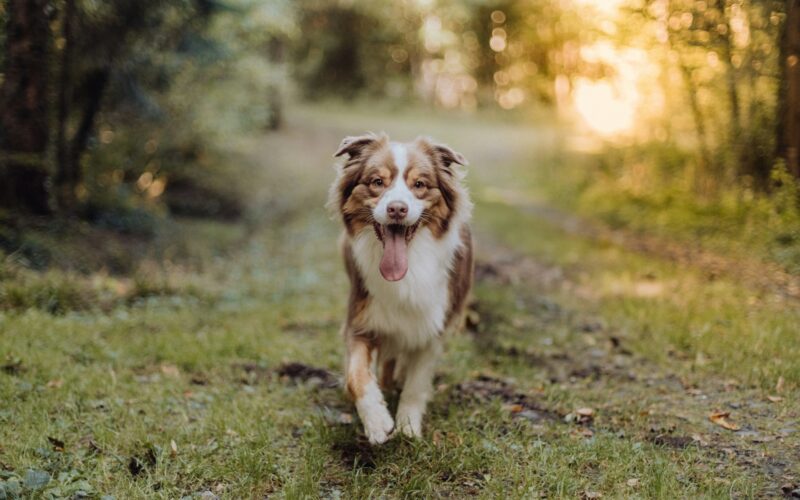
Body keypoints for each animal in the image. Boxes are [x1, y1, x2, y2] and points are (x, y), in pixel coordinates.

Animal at [328, 134, 472, 446]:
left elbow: (416, 384)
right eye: (377, 181)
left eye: (419, 184)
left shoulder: (433, 329)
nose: (397, 209)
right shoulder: (362, 319)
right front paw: (377, 421)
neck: (408, 271)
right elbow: (356, 375)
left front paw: (408, 427)